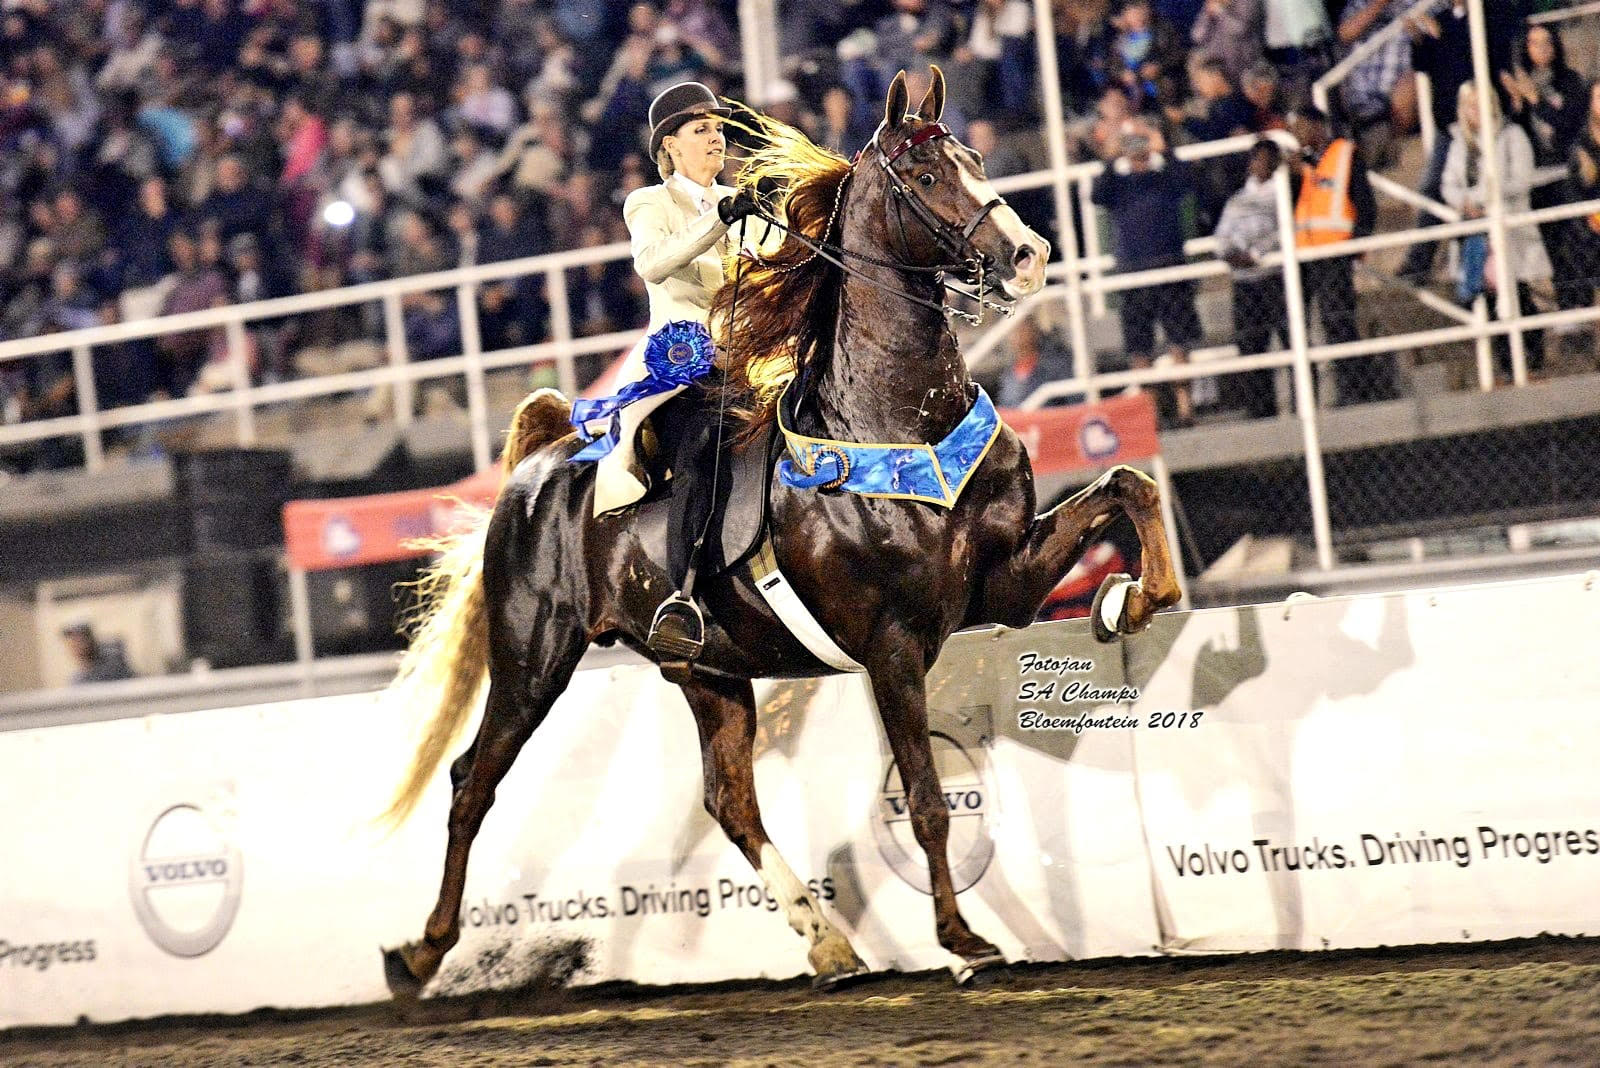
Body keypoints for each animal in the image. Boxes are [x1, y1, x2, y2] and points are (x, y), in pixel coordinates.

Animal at [380, 67, 1183, 996]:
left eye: (976, 158)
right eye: (926, 176)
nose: (1029, 256)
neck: (898, 419)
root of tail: (539, 463)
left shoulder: (1004, 583)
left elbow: (1129, 485)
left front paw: (1130, 601)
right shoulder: (892, 644)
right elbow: (927, 799)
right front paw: (962, 938)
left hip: (706, 672)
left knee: (730, 801)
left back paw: (829, 945)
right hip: (531, 659)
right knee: (473, 782)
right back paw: (419, 954)